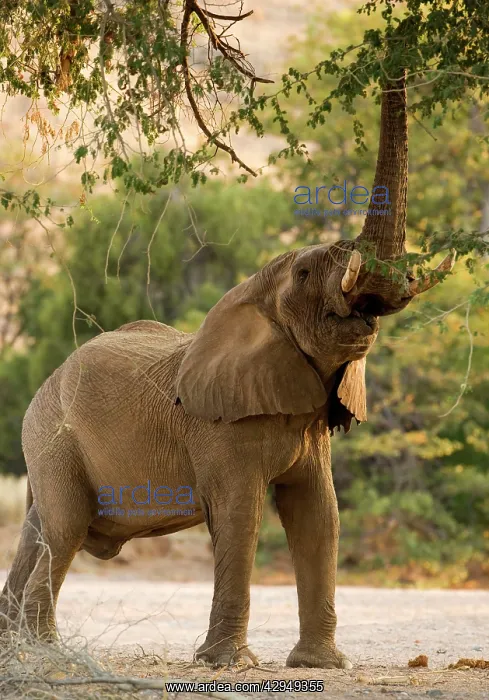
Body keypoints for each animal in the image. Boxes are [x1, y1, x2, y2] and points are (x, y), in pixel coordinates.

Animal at [0, 74, 454, 668]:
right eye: (305, 273)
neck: (254, 297)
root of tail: (42, 388)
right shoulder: (217, 428)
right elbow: (242, 514)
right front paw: (229, 664)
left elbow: (320, 515)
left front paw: (319, 665)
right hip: (54, 440)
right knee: (66, 526)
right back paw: (42, 652)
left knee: (39, 529)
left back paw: (16, 642)